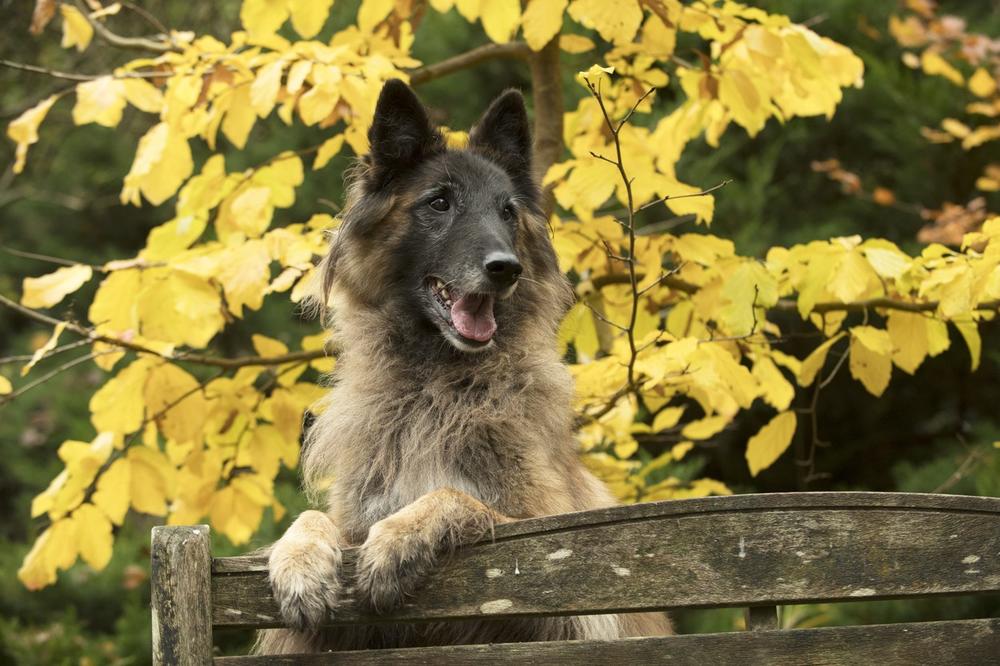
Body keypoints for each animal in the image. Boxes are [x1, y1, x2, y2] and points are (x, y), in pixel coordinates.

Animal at [254, 79, 672, 652]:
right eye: (439, 202)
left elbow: (456, 497)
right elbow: (312, 516)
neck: (436, 385)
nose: (505, 269)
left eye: (507, 211)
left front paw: (399, 537)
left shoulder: (566, 574)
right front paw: (299, 562)